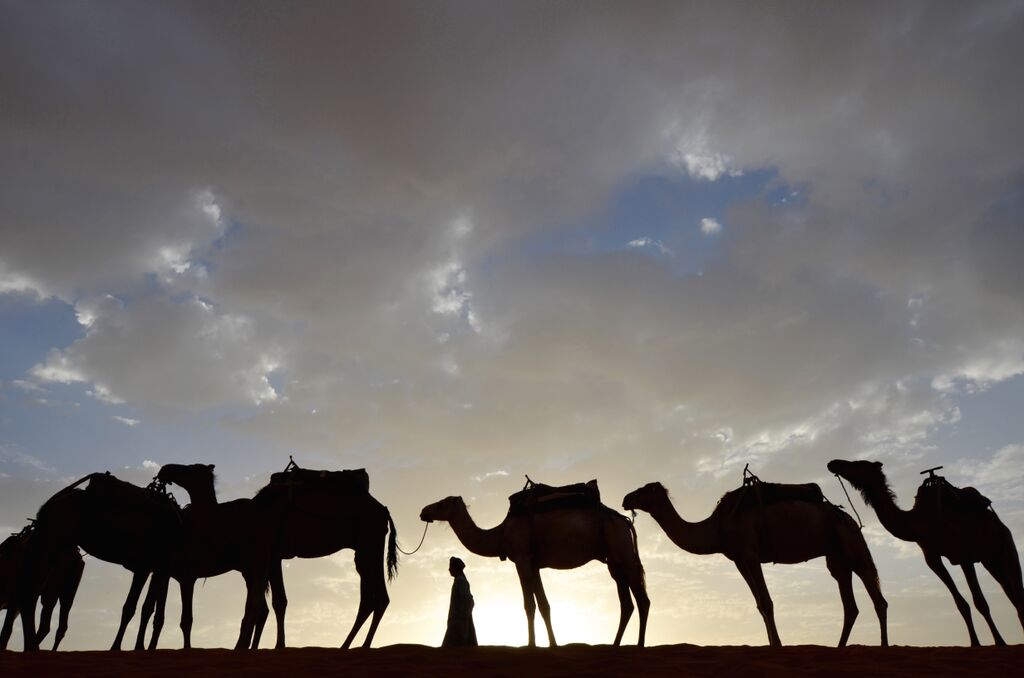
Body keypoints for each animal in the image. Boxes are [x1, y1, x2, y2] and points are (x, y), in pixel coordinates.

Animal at [417, 493, 647, 647]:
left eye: (441, 503)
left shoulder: (522, 559)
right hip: (614, 560)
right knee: (626, 602)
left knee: (642, 599)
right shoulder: (534, 564)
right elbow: (544, 605)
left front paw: (531, 645)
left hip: (622, 549)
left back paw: (639, 644)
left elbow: (529, 605)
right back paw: (615, 644)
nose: (423, 511)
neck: (501, 533)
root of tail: (624, 521)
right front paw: (553, 644)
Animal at [618, 481, 884, 647]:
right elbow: (759, 605)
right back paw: (840, 647)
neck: (717, 526)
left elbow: (767, 602)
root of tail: (848, 517)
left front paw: (778, 646)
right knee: (850, 605)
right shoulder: (739, 560)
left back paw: (883, 645)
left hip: (851, 543)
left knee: (877, 596)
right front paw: (772, 643)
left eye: (644, 490)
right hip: (837, 558)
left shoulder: (749, 553)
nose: (625, 498)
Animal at [827, 458, 1019, 647]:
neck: (921, 522)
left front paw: (1000, 642)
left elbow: (980, 602)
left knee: (1015, 590)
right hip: (990, 560)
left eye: (858, 464)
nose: (833, 463)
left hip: (1004, 546)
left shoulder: (963, 556)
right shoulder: (932, 558)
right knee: (1010, 591)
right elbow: (961, 603)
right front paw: (975, 643)